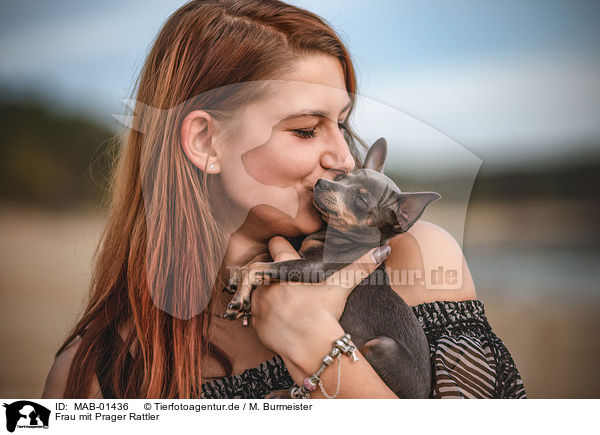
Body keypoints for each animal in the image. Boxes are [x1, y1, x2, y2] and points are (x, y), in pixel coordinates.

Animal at [224, 140, 436, 398]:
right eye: (342, 176)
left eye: (361, 201)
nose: (321, 182)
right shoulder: (299, 255)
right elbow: (261, 257)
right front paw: (237, 276)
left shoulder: (314, 269)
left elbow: (258, 266)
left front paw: (240, 296)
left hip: (381, 347)